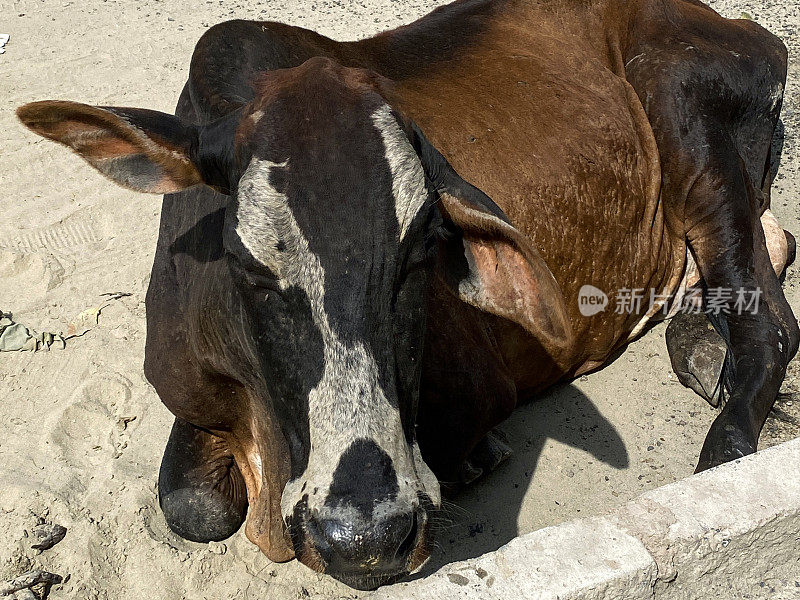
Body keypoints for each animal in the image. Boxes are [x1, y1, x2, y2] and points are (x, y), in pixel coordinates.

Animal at [15, 0, 796, 592]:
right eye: (247, 267)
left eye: (422, 252)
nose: (365, 537)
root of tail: (732, 23)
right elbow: (191, 507)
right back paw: (701, 348)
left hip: (686, 118)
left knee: (771, 324)